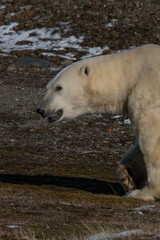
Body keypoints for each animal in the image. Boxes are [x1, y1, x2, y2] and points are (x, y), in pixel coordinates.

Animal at [37, 44, 160, 201]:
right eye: (48, 86)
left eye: (59, 87)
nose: (40, 109)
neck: (133, 74)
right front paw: (127, 176)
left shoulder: (148, 97)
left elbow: (152, 142)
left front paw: (143, 192)